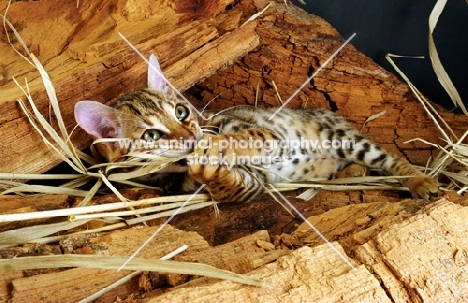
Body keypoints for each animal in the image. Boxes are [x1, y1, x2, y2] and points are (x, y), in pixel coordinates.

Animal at [74, 55, 438, 202]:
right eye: (150, 135)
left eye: (181, 111)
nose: (191, 137)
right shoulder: (254, 182)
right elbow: (230, 186)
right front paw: (209, 171)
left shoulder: (267, 135)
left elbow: (241, 137)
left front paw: (213, 147)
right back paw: (344, 174)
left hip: (344, 138)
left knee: (390, 159)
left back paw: (421, 181)